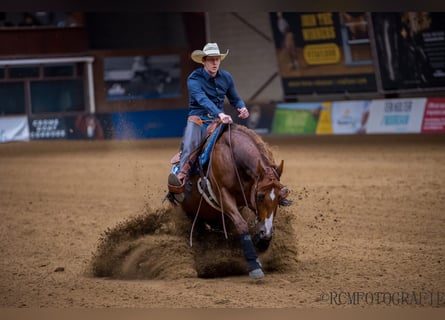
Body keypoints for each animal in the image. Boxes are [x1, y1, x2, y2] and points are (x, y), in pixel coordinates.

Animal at [165, 123, 290, 280]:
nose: (266, 233)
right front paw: (254, 265)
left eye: (279, 197)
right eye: (261, 196)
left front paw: (262, 240)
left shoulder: (248, 199)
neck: (233, 156)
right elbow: (241, 224)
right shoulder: (224, 196)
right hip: (191, 215)